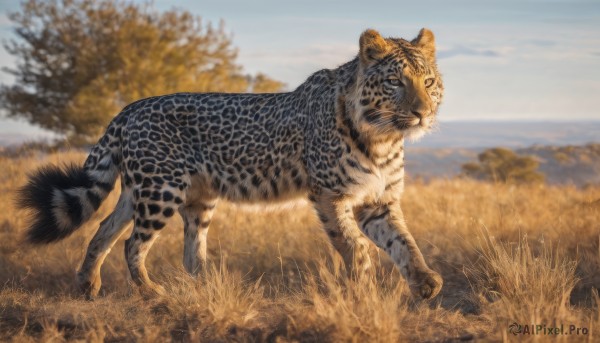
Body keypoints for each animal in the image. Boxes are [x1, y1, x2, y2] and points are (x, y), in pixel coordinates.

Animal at [16, 28, 442, 300]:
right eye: (396, 82)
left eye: (429, 82)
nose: (421, 113)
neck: (382, 136)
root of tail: (131, 107)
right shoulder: (329, 196)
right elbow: (356, 247)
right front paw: (365, 290)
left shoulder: (379, 201)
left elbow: (403, 241)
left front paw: (424, 282)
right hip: (160, 191)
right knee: (132, 243)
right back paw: (153, 293)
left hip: (174, 195)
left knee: (123, 235)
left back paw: (96, 286)